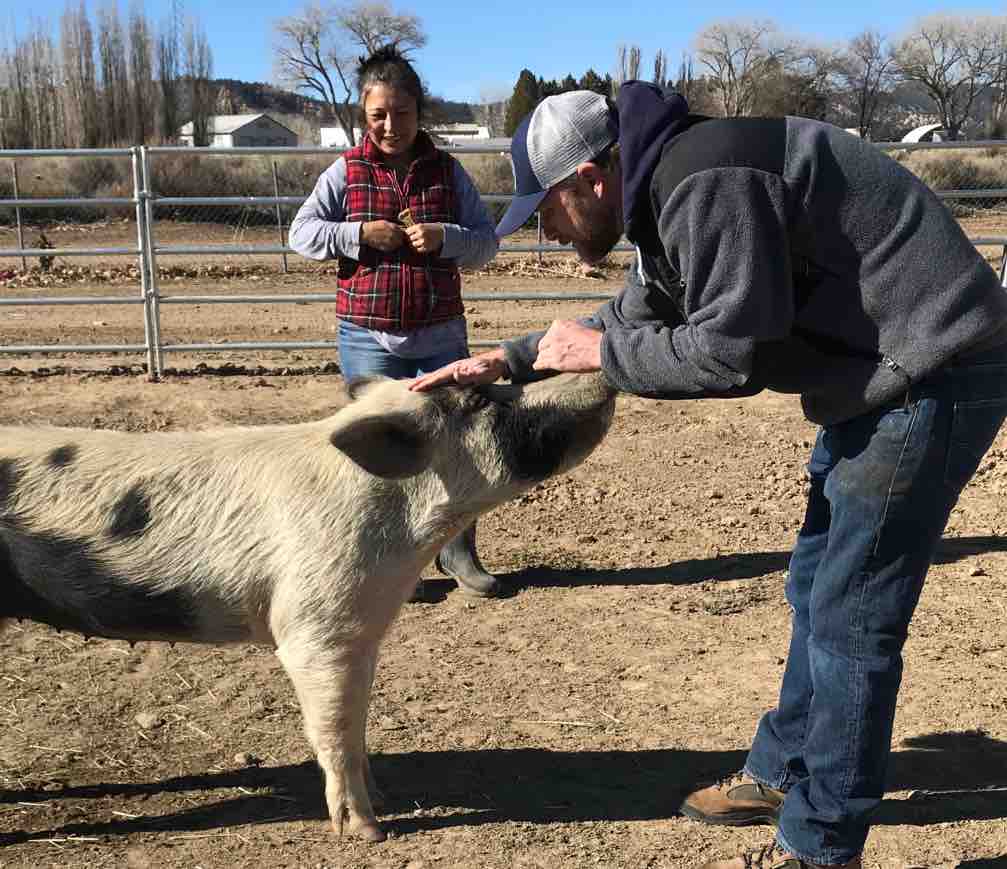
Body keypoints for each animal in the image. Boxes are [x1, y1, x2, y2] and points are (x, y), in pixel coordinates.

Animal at [0, 374, 612, 841]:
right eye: (481, 401)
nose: (602, 377)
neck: (405, 537)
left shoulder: (362, 631)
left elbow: (357, 722)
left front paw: (382, 798)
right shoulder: (314, 630)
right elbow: (333, 730)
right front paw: (368, 832)